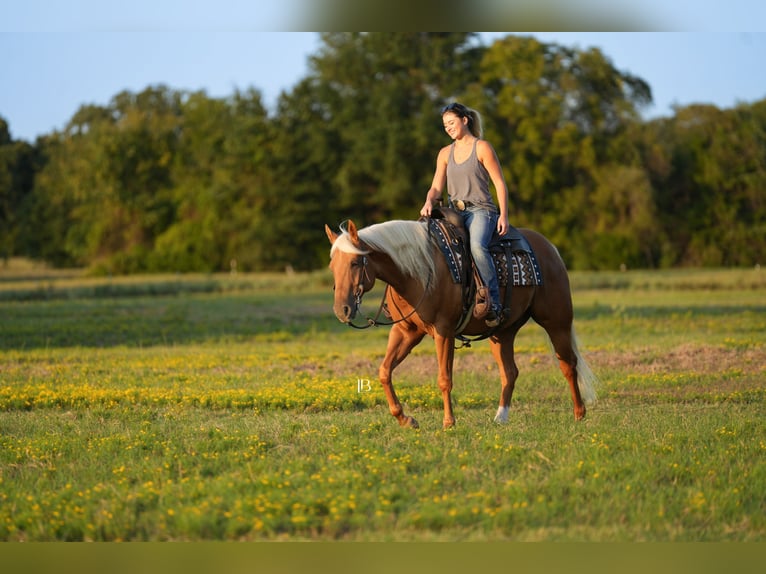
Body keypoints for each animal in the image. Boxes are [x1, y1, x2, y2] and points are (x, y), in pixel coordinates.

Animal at [324, 214, 597, 429]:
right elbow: (384, 371)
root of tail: (549, 247)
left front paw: (449, 422)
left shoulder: (443, 331)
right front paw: (405, 419)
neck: (418, 272)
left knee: (568, 364)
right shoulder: (406, 331)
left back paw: (579, 413)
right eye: (332, 266)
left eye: (355, 262)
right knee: (510, 372)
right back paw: (501, 418)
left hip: (557, 321)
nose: (342, 309)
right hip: (503, 332)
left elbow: (444, 378)